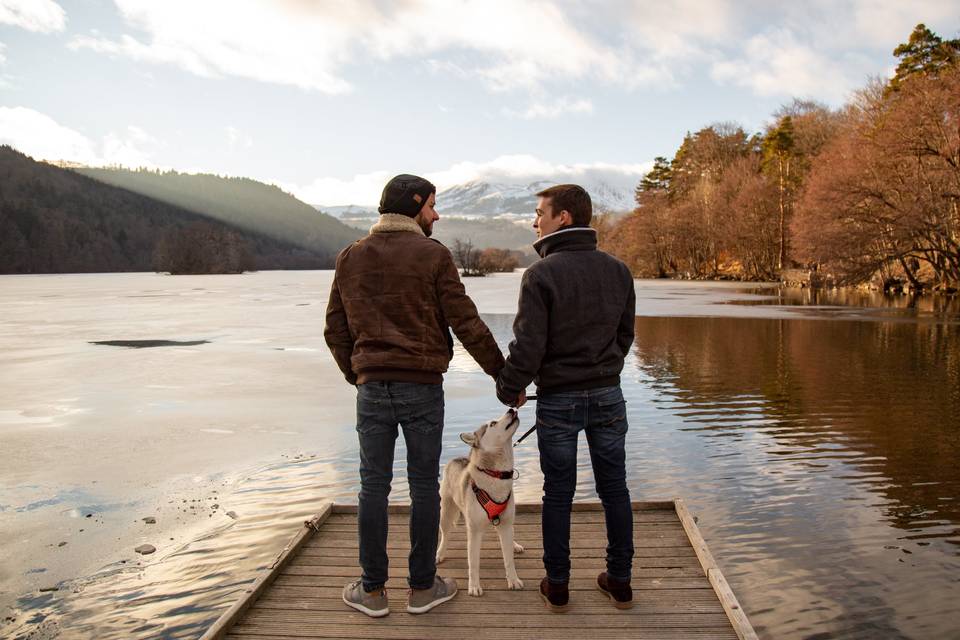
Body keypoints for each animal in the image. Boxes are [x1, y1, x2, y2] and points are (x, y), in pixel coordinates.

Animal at [436, 408, 524, 596]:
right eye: (492, 423)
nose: (511, 409)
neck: (496, 475)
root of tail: (456, 458)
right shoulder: (474, 531)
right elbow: (473, 563)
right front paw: (474, 586)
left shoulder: (506, 524)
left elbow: (509, 559)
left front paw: (513, 580)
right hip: (445, 512)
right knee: (445, 535)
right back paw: (439, 553)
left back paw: (515, 545)